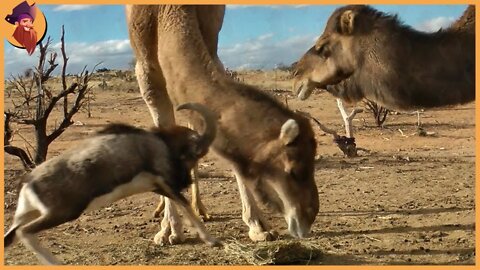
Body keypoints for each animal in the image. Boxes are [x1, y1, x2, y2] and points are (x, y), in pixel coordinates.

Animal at [126, 5, 318, 244]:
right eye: (293, 170)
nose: (308, 217)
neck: (166, 12)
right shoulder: (146, 71)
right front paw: (170, 231)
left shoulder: (211, 36)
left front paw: (259, 227)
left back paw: (199, 209)